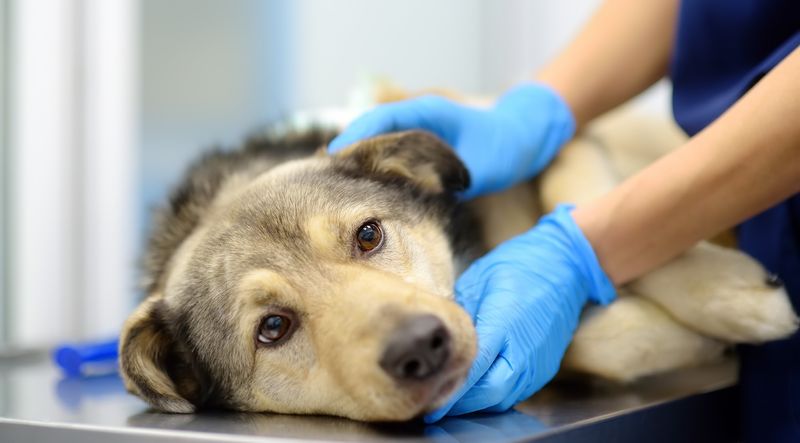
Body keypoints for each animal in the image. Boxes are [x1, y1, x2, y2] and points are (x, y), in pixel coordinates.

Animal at [120, 106, 800, 422]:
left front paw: (732, 296)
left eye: (368, 235)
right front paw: (693, 337)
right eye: (272, 328)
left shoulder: (564, 142)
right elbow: (590, 340)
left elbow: (589, 203)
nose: (420, 347)